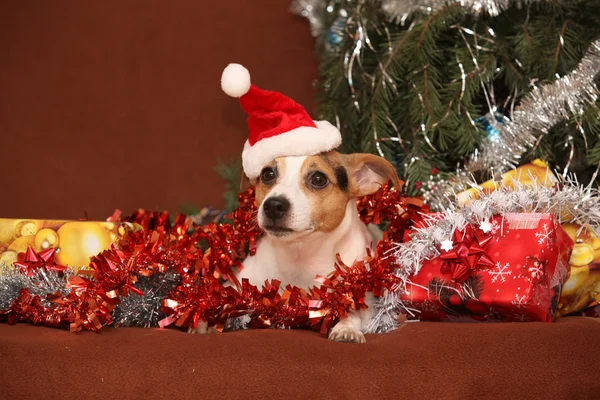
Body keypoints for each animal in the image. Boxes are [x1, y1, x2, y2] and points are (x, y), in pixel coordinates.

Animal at [190, 148, 400, 342]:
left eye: (318, 179)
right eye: (267, 174)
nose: (273, 205)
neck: (301, 255)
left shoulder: (365, 302)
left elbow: (352, 312)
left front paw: (346, 328)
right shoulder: (240, 284)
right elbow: (221, 299)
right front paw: (204, 321)